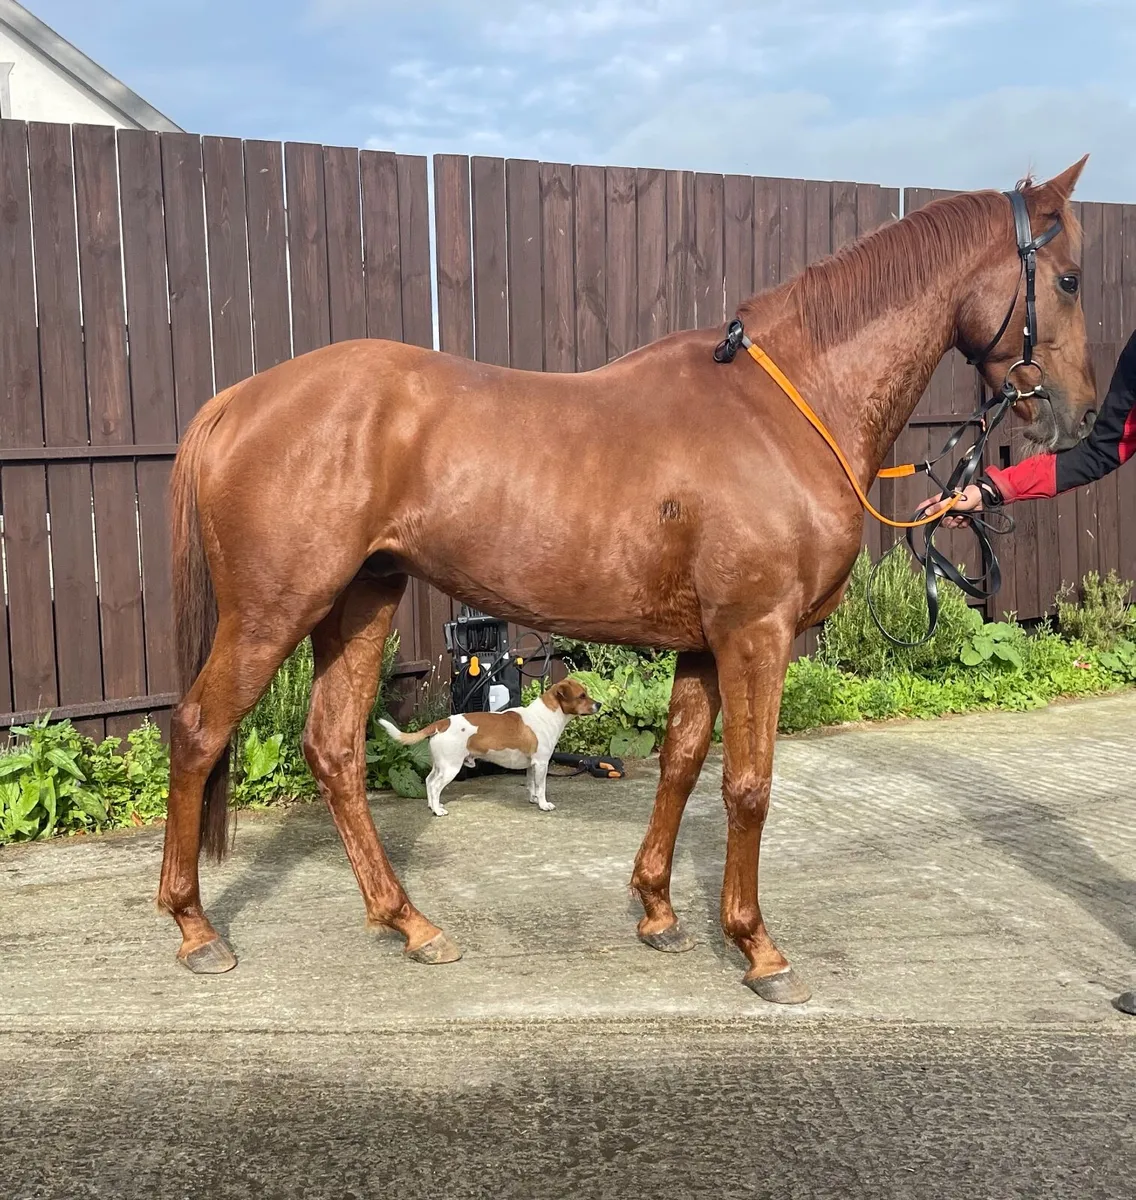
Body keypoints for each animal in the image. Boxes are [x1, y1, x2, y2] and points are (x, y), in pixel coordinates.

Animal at [158, 158, 1096, 1002]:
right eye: (1070, 277)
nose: (1077, 413)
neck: (784, 408)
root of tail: (239, 400)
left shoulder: (706, 644)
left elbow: (680, 765)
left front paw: (659, 913)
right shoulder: (756, 633)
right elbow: (749, 786)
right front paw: (759, 950)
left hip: (359, 603)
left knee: (334, 749)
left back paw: (409, 924)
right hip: (274, 610)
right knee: (200, 730)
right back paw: (196, 930)